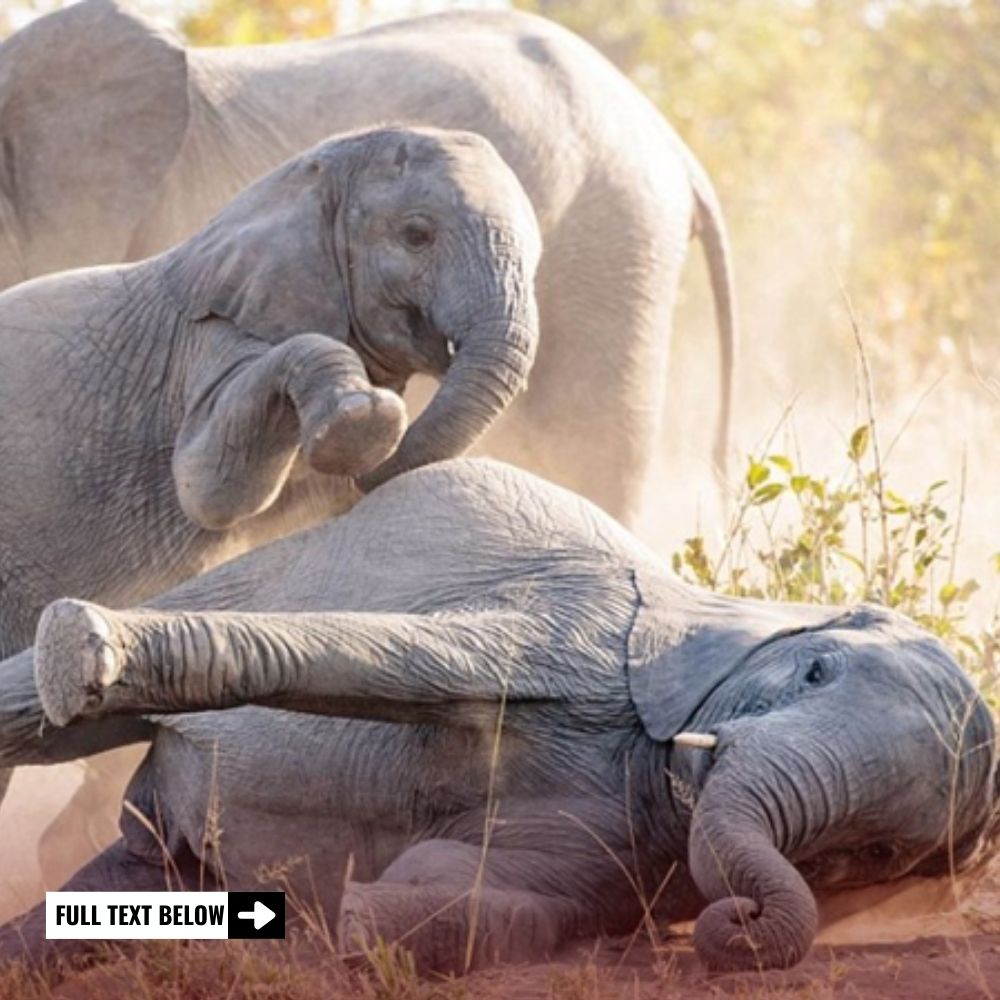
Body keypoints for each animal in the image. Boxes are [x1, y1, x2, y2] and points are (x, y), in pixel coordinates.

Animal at [1, 462, 1000, 976]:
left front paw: (359, 913)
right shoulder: (571, 629)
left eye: (867, 855)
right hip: (277, 560)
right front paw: (85, 650)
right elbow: (369, 656)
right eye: (814, 670)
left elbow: (467, 905)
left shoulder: (626, 851)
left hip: (157, 851)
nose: (744, 915)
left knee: (135, 874)